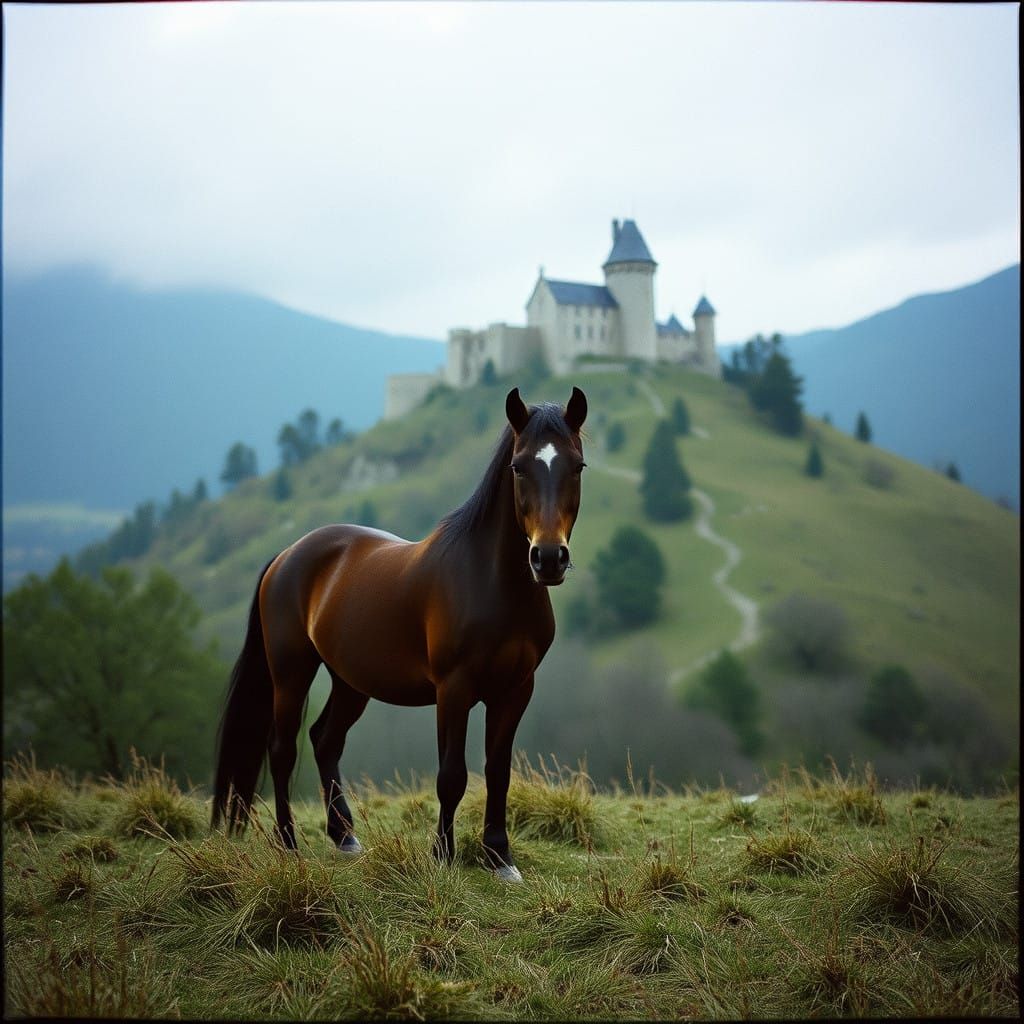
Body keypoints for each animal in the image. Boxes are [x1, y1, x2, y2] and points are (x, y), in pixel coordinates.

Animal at [212, 386, 587, 881]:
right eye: (519, 467)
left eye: (577, 466)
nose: (547, 558)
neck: (491, 585)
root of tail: (288, 554)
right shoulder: (454, 689)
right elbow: (452, 776)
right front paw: (442, 856)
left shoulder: (515, 690)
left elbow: (498, 771)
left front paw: (499, 857)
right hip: (291, 672)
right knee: (282, 749)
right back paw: (289, 843)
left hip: (350, 681)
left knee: (325, 740)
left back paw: (345, 836)